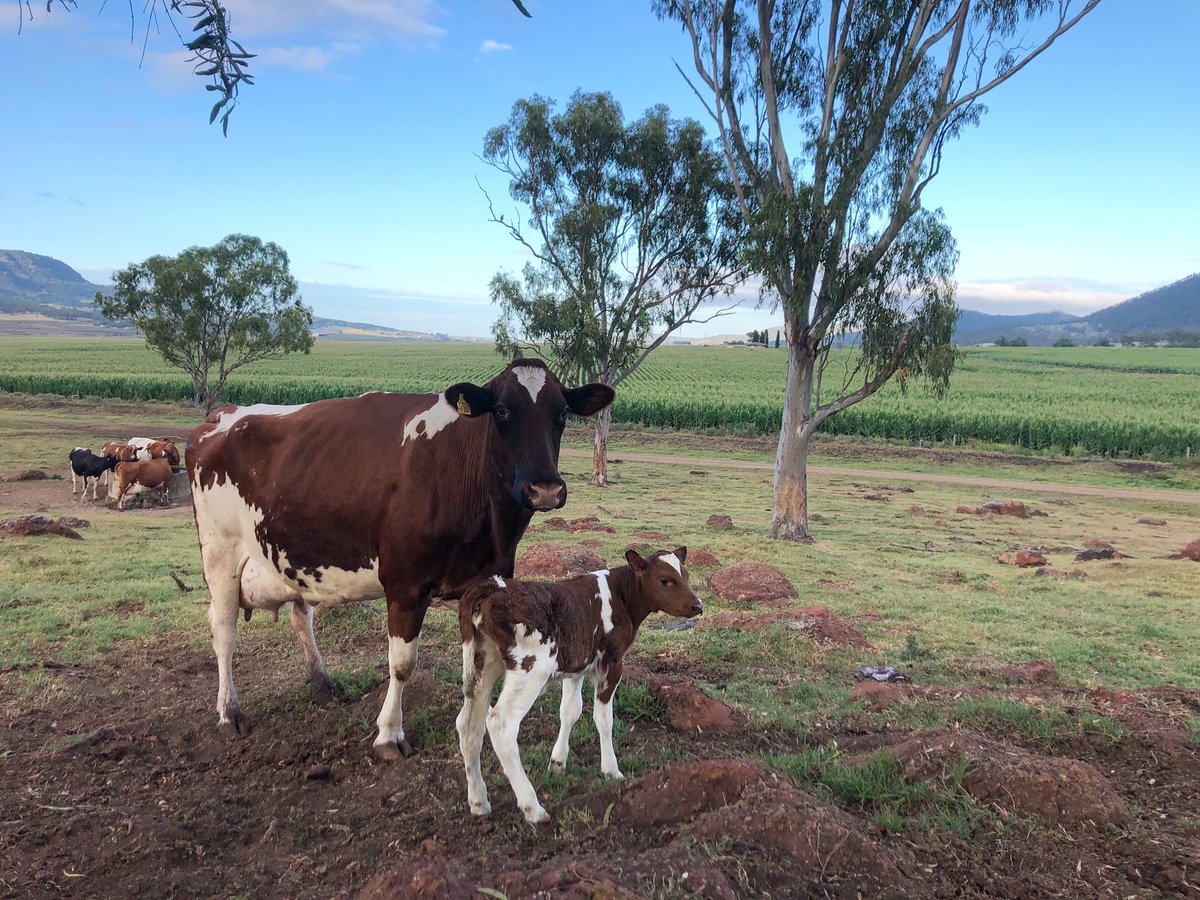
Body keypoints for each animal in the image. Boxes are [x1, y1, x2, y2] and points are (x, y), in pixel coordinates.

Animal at [185, 359, 614, 757]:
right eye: (502, 409)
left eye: (562, 412)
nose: (545, 489)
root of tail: (219, 416)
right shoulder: (405, 586)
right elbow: (402, 664)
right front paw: (389, 734)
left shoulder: (483, 583)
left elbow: (474, 665)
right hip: (220, 552)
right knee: (223, 629)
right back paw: (229, 712)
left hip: (293, 555)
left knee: (300, 614)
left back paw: (321, 683)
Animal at [456, 548, 702, 823]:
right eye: (664, 580)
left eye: (686, 576)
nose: (697, 606)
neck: (619, 595)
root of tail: (496, 587)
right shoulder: (611, 662)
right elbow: (603, 719)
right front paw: (611, 770)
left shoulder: (577, 665)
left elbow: (570, 711)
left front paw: (558, 762)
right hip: (531, 670)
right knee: (501, 724)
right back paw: (533, 808)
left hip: (482, 664)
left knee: (468, 724)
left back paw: (478, 800)